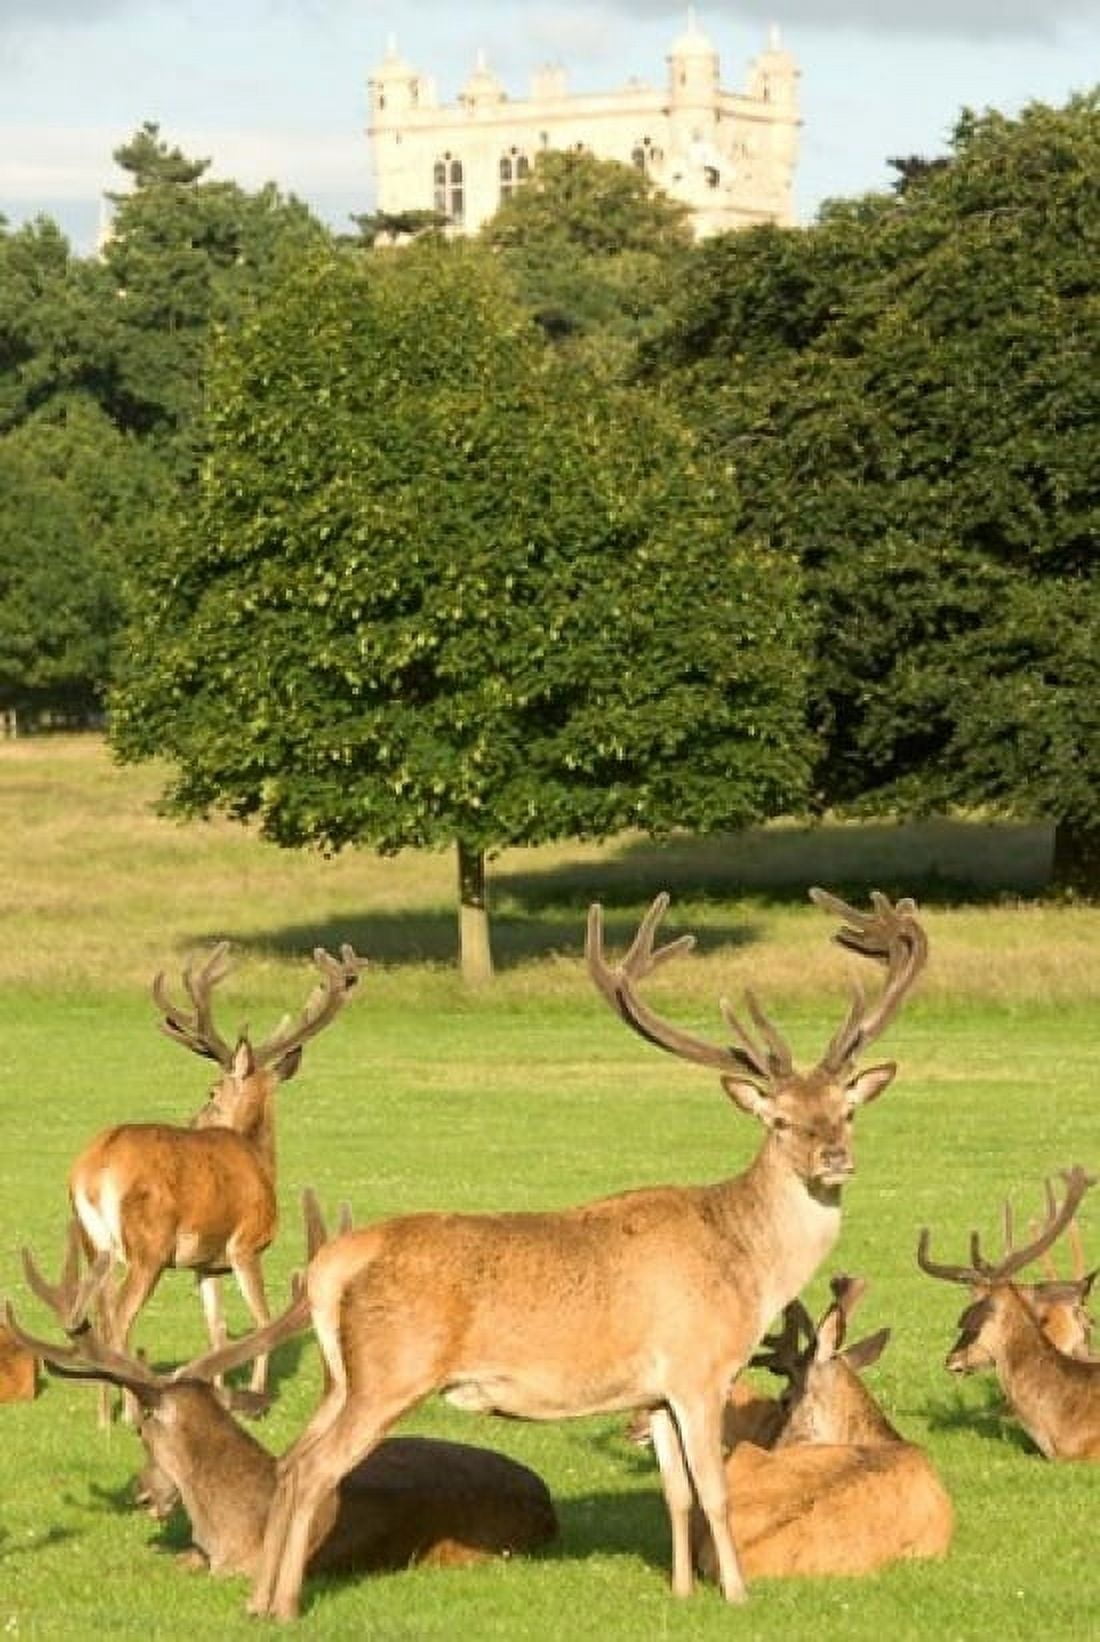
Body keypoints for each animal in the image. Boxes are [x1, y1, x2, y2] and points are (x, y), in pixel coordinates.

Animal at [68, 941, 364, 1424]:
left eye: (210, 1091)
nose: (194, 1118)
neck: (258, 1157)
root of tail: (97, 1167)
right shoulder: (247, 1244)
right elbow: (262, 1320)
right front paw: (257, 1399)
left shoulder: (205, 1263)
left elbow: (218, 1330)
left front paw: (218, 1394)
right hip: (148, 1247)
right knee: (121, 1319)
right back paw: (130, 1412)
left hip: (93, 1241)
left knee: (96, 1311)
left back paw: (103, 1417)